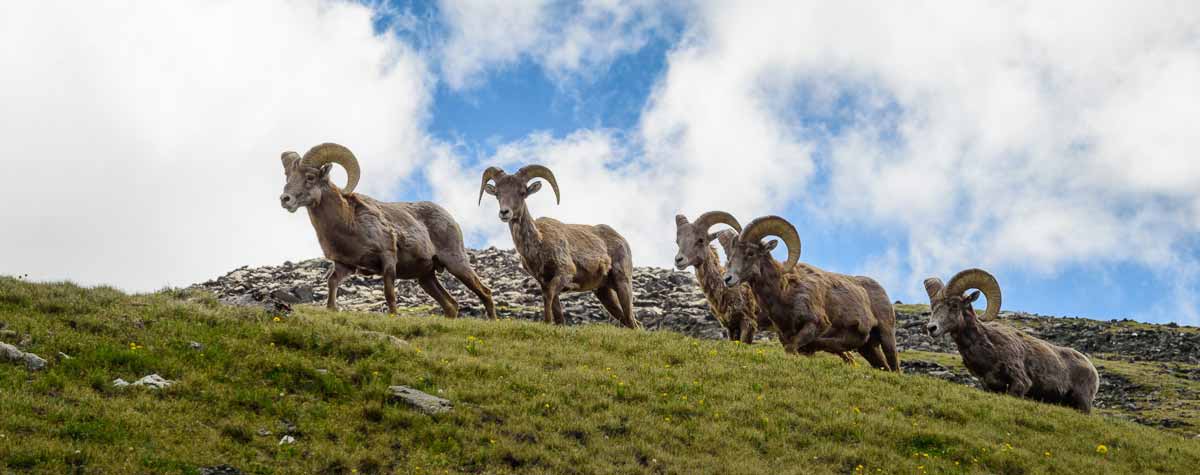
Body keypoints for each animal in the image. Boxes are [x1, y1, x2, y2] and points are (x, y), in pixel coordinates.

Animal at [280, 142, 496, 319]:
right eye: (288, 177)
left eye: (310, 177)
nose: (285, 199)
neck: (348, 223)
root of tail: (450, 219)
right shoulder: (344, 265)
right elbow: (332, 283)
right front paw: (332, 309)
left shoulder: (388, 258)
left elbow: (389, 293)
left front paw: (394, 316)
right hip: (426, 278)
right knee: (451, 305)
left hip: (456, 264)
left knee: (485, 293)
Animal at [477, 165, 643, 328]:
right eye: (497, 194)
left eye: (522, 192)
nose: (504, 212)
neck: (539, 243)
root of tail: (622, 240)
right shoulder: (545, 281)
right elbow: (556, 310)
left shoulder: (565, 272)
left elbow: (548, 296)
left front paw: (547, 322)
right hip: (604, 291)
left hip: (622, 283)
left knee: (632, 321)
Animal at [715, 214, 897, 371]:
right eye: (731, 255)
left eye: (750, 253)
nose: (727, 279)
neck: (785, 294)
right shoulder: (786, 337)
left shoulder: (814, 325)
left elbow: (795, 348)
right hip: (868, 349)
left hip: (887, 338)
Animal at [921, 271, 1099, 412]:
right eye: (933, 306)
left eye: (954, 305)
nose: (932, 328)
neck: (989, 348)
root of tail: (1092, 369)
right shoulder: (989, 387)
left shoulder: (1020, 384)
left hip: (1082, 403)